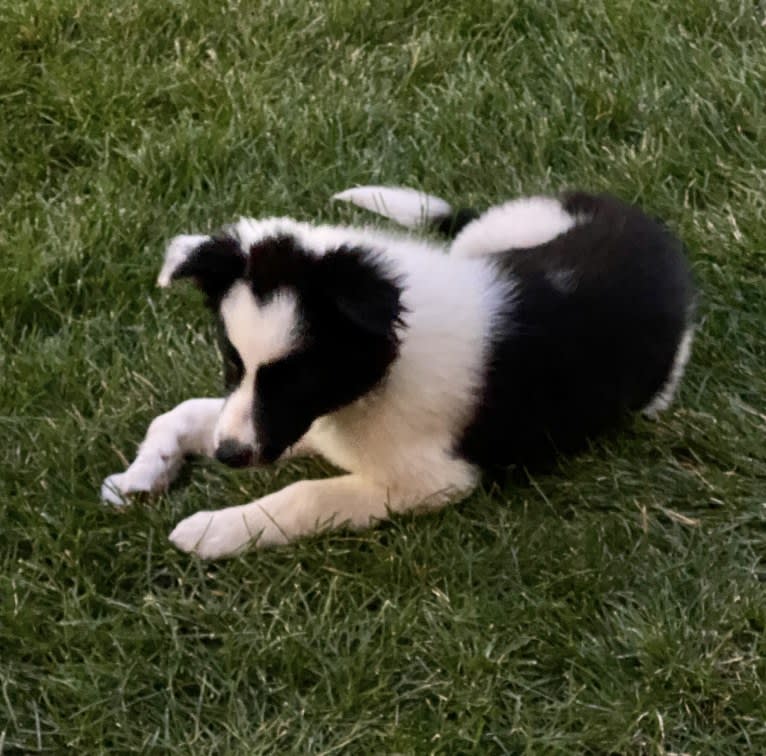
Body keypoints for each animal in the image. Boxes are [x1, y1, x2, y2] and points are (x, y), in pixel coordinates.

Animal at [100, 186, 696, 560]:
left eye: (298, 377)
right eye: (231, 361)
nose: (228, 457)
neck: (387, 366)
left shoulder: (432, 479)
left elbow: (307, 495)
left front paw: (215, 530)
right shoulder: (295, 424)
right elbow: (179, 415)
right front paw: (139, 477)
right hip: (491, 235)